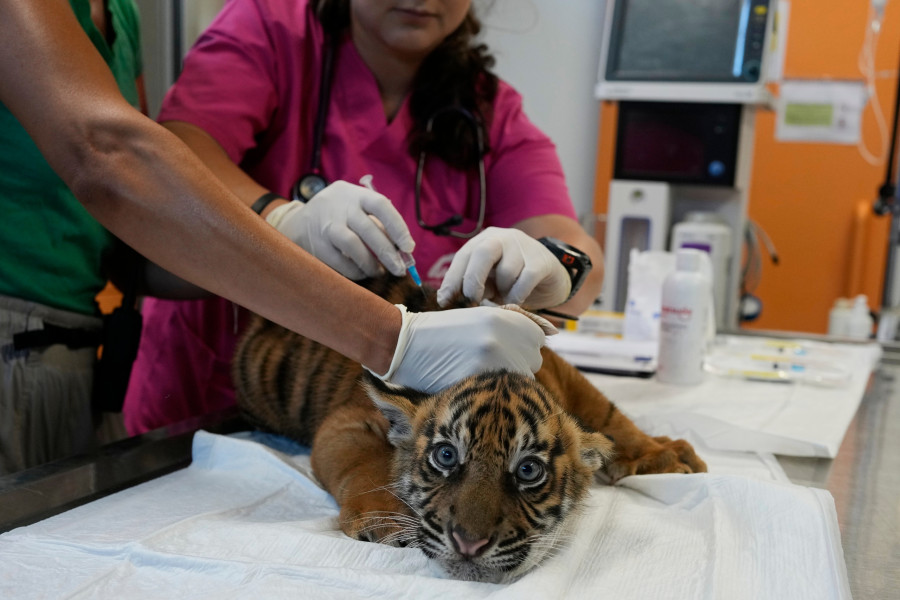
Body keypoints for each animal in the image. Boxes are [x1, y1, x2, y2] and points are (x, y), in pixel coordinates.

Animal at [232, 276, 706, 583]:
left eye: (528, 471)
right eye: (446, 456)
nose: (469, 543)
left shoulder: (565, 375)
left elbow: (608, 415)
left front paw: (663, 456)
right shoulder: (349, 420)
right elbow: (363, 464)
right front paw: (385, 522)